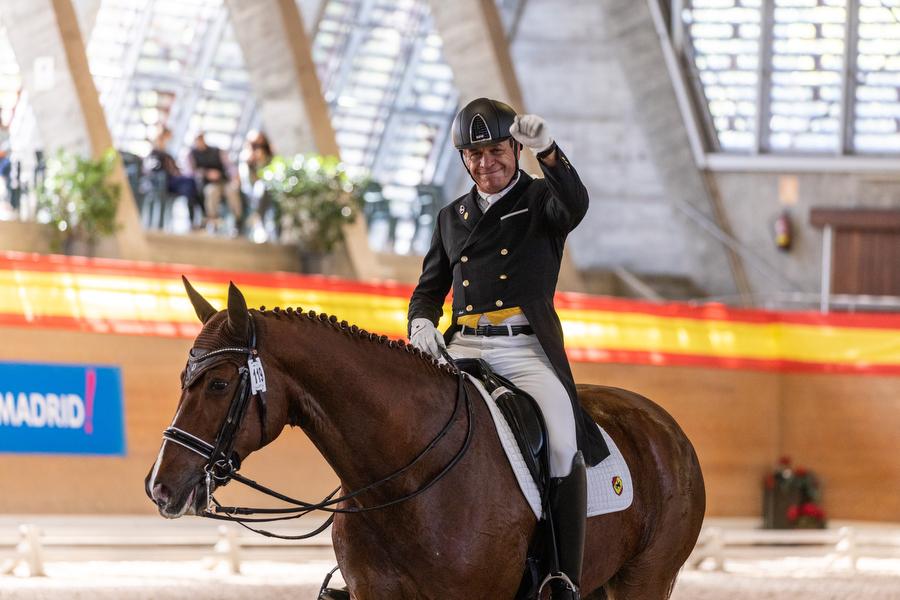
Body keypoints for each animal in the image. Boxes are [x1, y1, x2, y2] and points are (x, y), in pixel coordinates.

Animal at [144, 282, 704, 600]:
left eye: (218, 384)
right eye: (183, 379)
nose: (160, 487)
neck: (405, 480)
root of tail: (666, 427)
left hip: (644, 580)